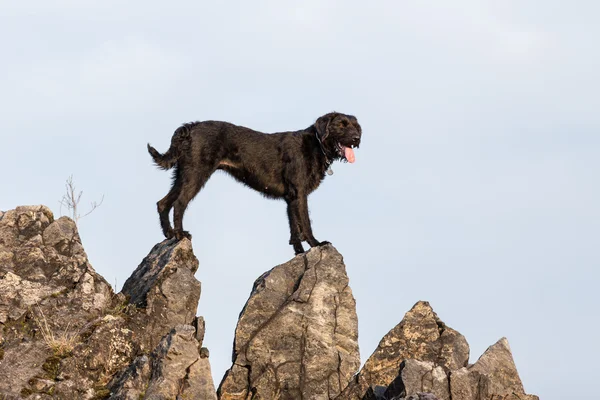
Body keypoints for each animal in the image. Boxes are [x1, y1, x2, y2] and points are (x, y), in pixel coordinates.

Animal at [148, 111, 364, 253]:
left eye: (355, 126)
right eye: (341, 125)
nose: (356, 138)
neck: (316, 145)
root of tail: (191, 127)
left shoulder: (291, 198)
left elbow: (294, 228)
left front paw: (299, 253)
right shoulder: (300, 194)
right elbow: (305, 223)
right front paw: (316, 244)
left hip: (182, 175)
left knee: (162, 203)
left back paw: (169, 233)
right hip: (196, 174)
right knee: (179, 203)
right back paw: (180, 234)